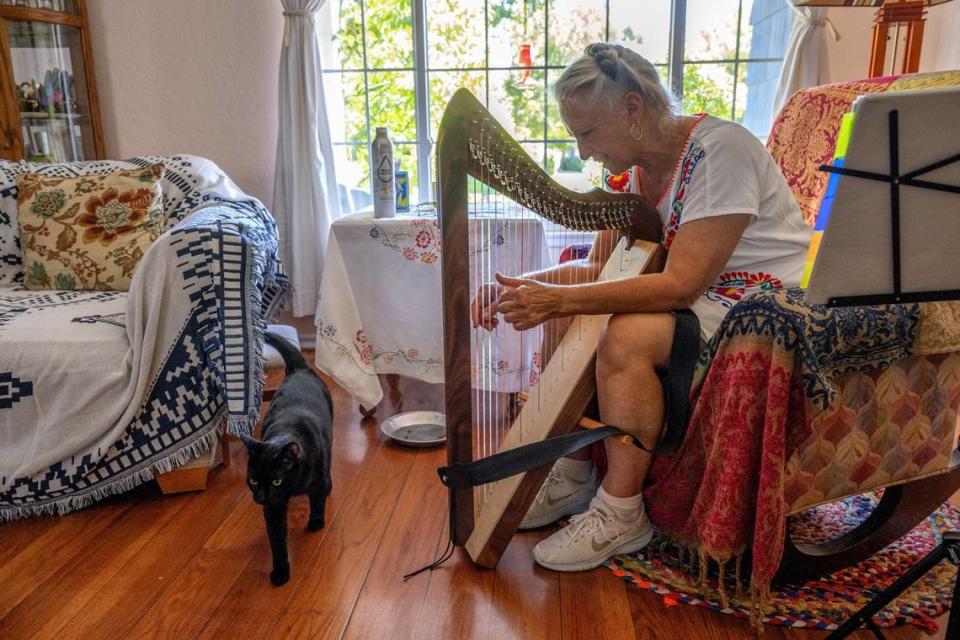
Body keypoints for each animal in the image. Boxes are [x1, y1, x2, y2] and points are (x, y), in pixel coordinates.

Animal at [242, 332, 332, 588]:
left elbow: (317, 500)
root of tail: (299, 369)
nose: (261, 497)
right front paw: (281, 572)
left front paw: (316, 523)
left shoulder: (316, 479)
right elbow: (277, 540)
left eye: (276, 481)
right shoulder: (273, 508)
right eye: (253, 480)